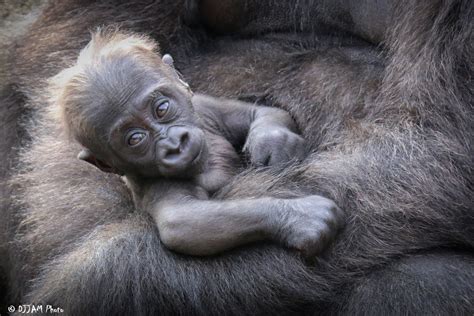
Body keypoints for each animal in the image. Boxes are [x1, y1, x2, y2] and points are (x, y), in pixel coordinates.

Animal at [53, 29, 344, 256]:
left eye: (162, 108)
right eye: (135, 139)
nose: (174, 144)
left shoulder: (204, 108)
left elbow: (259, 112)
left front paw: (273, 141)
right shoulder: (155, 184)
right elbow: (185, 222)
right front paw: (297, 217)